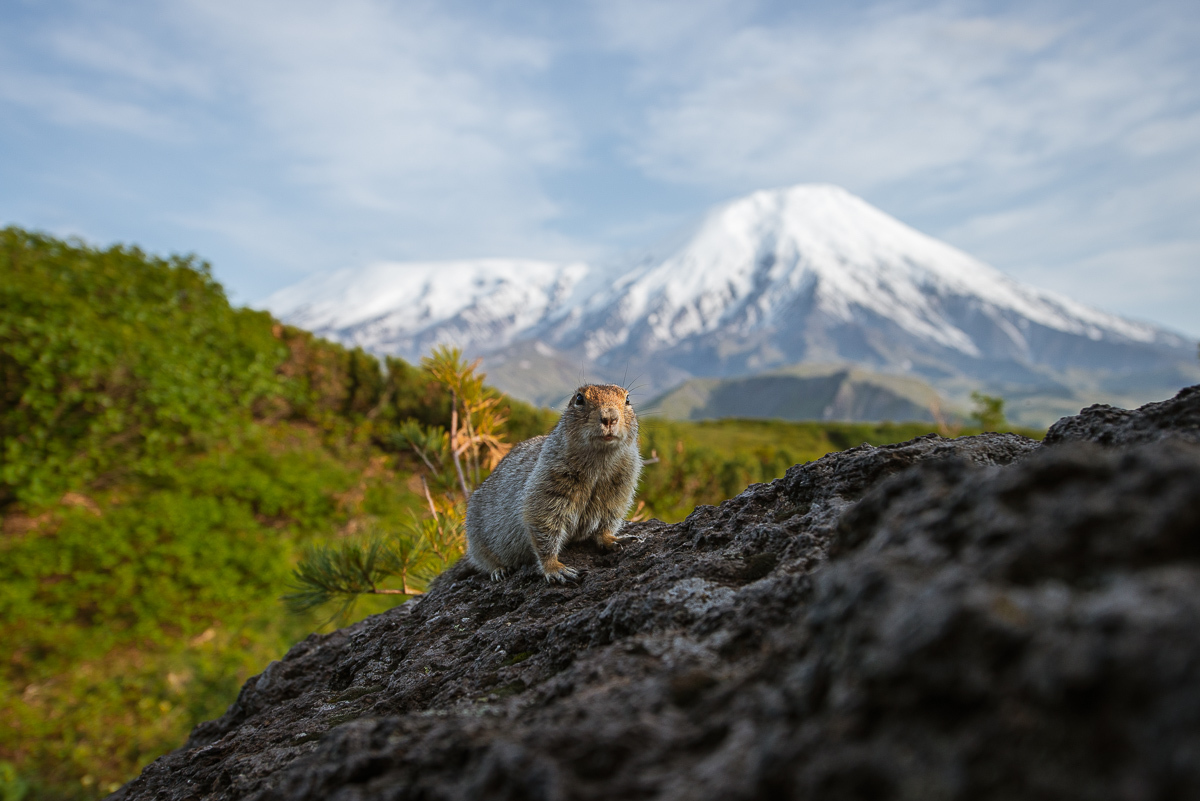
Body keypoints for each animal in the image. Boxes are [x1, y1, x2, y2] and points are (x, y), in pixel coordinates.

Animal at [463, 381, 643, 582]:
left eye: (627, 399)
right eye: (579, 398)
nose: (610, 417)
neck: (600, 463)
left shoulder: (620, 487)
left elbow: (606, 521)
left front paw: (615, 539)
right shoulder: (548, 481)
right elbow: (543, 522)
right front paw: (556, 568)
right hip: (476, 537)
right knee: (483, 560)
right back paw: (499, 570)